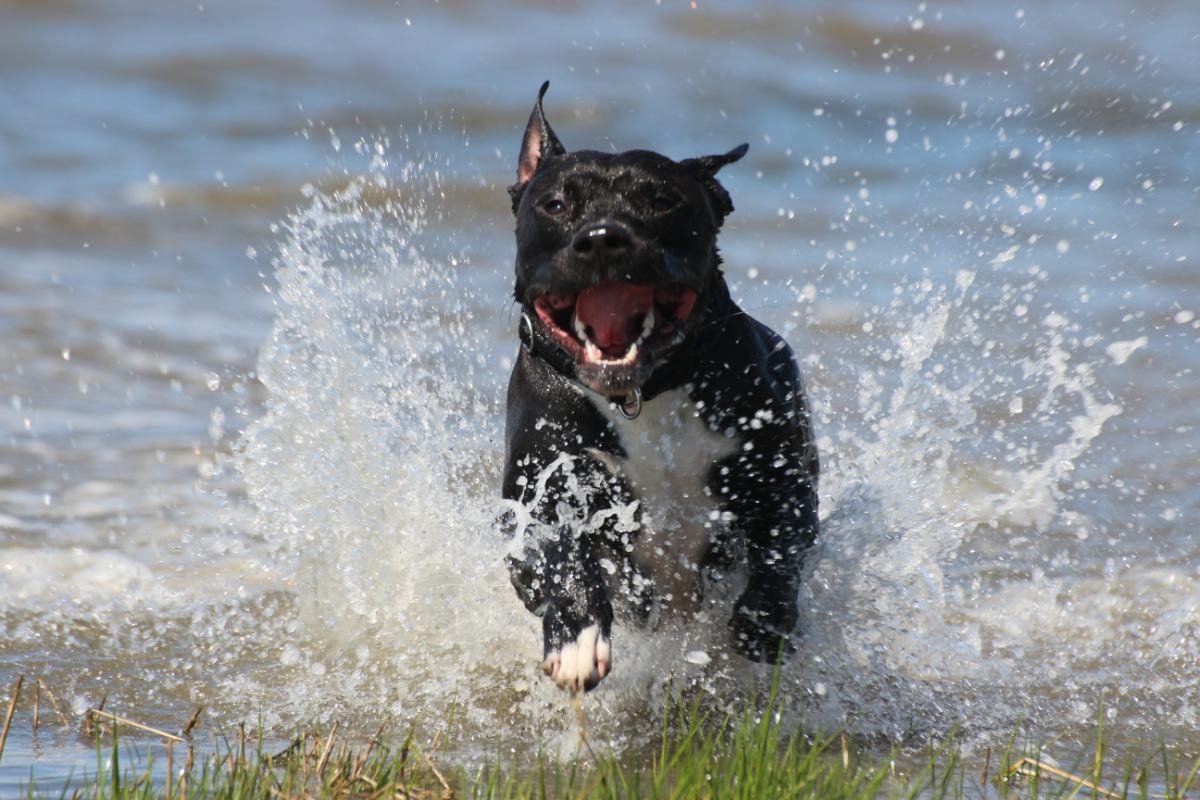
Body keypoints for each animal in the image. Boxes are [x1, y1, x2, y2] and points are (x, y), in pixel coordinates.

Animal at [496, 82, 816, 695]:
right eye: (555, 205)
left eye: (662, 201)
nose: (602, 239)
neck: (642, 397)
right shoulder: (535, 500)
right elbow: (562, 558)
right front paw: (576, 639)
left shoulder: (782, 472)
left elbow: (782, 544)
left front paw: (762, 620)